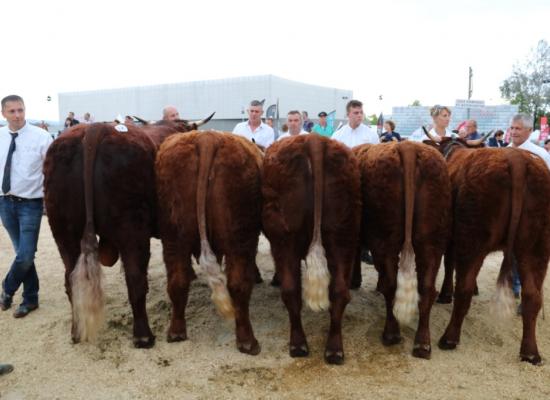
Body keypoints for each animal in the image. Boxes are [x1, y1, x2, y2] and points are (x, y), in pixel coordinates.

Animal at [44, 115, 212, 346]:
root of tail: (94, 129)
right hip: (132, 228)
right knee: (135, 279)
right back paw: (143, 335)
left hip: (64, 231)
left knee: (71, 280)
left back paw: (76, 332)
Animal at [155, 130, 264, 354]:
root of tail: (208, 137)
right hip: (240, 238)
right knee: (239, 285)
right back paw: (248, 342)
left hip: (173, 237)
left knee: (177, 282)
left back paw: (176, 332)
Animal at [262, 135, 362, 366]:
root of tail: (314, 139)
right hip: (343, 235)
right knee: (339, 291)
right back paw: (334, 350)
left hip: (285, 239)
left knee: (290, 290)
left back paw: (298, 345)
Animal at [354, 141, 452, 360]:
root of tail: (408, 146)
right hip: (432, 241)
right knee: (427, 289)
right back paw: (422, 344)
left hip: (385, 238)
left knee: (391, 285)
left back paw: (391, 334)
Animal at [426, 133, 550, 364]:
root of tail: (517, 159)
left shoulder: (452, 237)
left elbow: (449, 264)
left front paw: (446, 294)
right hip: (536, 247)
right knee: (533, 296)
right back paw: (530, 352)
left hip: (473, 236)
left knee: (463, 288)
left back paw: (449, 338)